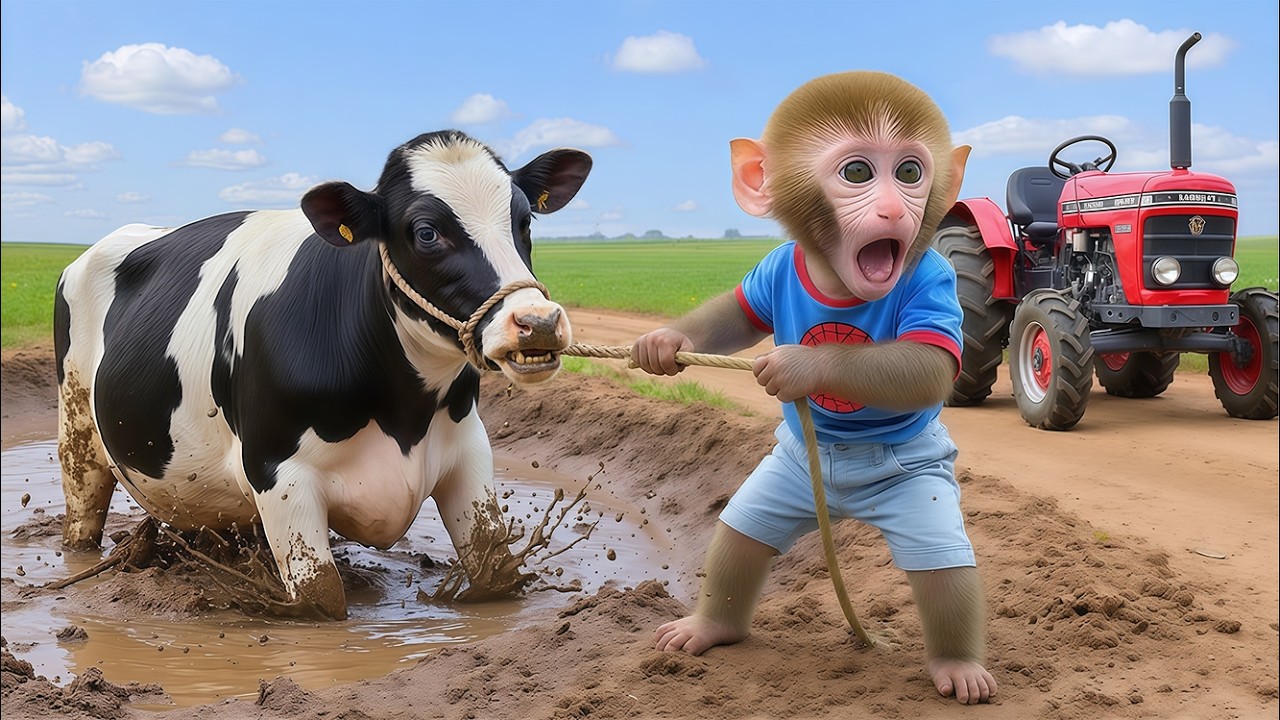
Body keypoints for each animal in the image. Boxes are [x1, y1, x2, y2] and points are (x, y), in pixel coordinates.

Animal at [54, 130, 591, 619]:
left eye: (524, 220)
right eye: (426, 232)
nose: (538, 321)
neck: (404, 412)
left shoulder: (468, 451)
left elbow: (495, 571)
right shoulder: (277, 471)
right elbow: (323, 599)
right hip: (77, 435)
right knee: (82, 510)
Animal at [631, 71, 995, 704]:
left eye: (910, 172)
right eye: (858, 172)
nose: (893, 209)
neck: (837, 285)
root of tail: (847, 498)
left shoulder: (932, 280)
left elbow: (926, 363)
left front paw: (798, 367)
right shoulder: (774, 268)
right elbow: (736, 313)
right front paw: (663, 343)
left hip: (922, 493)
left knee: (945, 575)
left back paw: (959, 668)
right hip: (784, 483)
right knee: (739, 542)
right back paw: (707, 628)